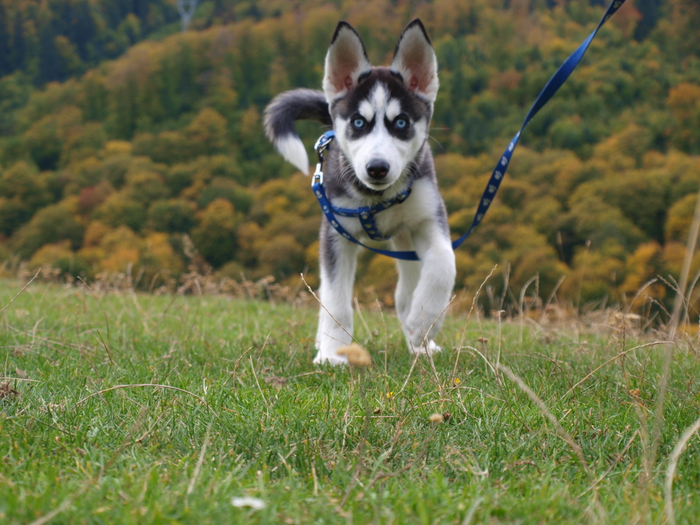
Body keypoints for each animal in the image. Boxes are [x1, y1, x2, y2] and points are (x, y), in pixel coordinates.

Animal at [266, 21, 456, 364]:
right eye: (358, 122)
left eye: (401, 123)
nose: (377, 168)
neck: (377, 200)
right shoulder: (335, 232)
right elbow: (335, 298)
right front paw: (333, 353)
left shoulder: (429, 216)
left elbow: (443, 263)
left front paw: (423, 323)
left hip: (406, 236)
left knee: (407, 286)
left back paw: (419, 339)